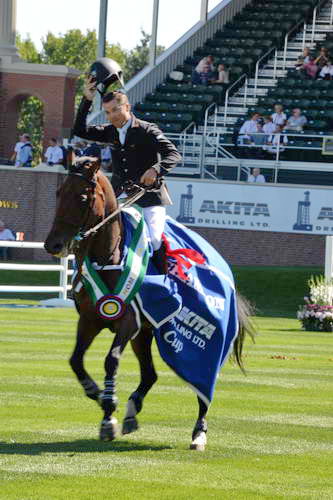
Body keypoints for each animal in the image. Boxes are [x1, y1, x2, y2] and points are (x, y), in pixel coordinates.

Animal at [44, 155, 252, 450]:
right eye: (59, 192)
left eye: (82, 196)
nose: (53, 245)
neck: (110, 256)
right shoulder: (90, 320)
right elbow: (76, 360)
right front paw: (97, 394)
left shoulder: (128, 322)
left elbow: (111, 361)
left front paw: (108, 413)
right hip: (144, 336)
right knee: (150, 375)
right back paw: (132, 410)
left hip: (195, 343)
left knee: (204, 386)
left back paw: (198, 433)